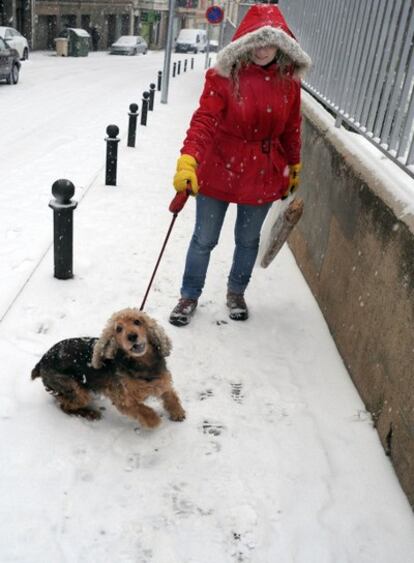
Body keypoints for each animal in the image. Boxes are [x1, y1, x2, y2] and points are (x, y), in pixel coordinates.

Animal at [31, 308, 187, 428]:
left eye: (137, 321)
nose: (132, 336)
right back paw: (91, 413)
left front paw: (177, 412)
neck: (142, 363)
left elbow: (170, 395)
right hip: (76, 390)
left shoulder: (161, 382)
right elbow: (142, 409)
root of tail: (41, 362)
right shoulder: (122, 399)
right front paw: (153, 421)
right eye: (118, 329)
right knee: (65, 406)